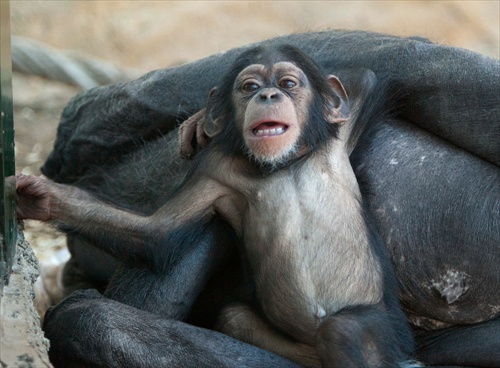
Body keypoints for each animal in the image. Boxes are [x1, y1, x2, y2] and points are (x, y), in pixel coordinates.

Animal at [16, 31, 500, 368]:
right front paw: (46, 195)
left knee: (345, 331)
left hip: (380, 327)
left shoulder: (343, 125)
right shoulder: (214, 173)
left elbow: (387, 72)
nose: (269, 94)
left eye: (287, 82)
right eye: (250, 86)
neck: (283, 165)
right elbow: (160, 231)